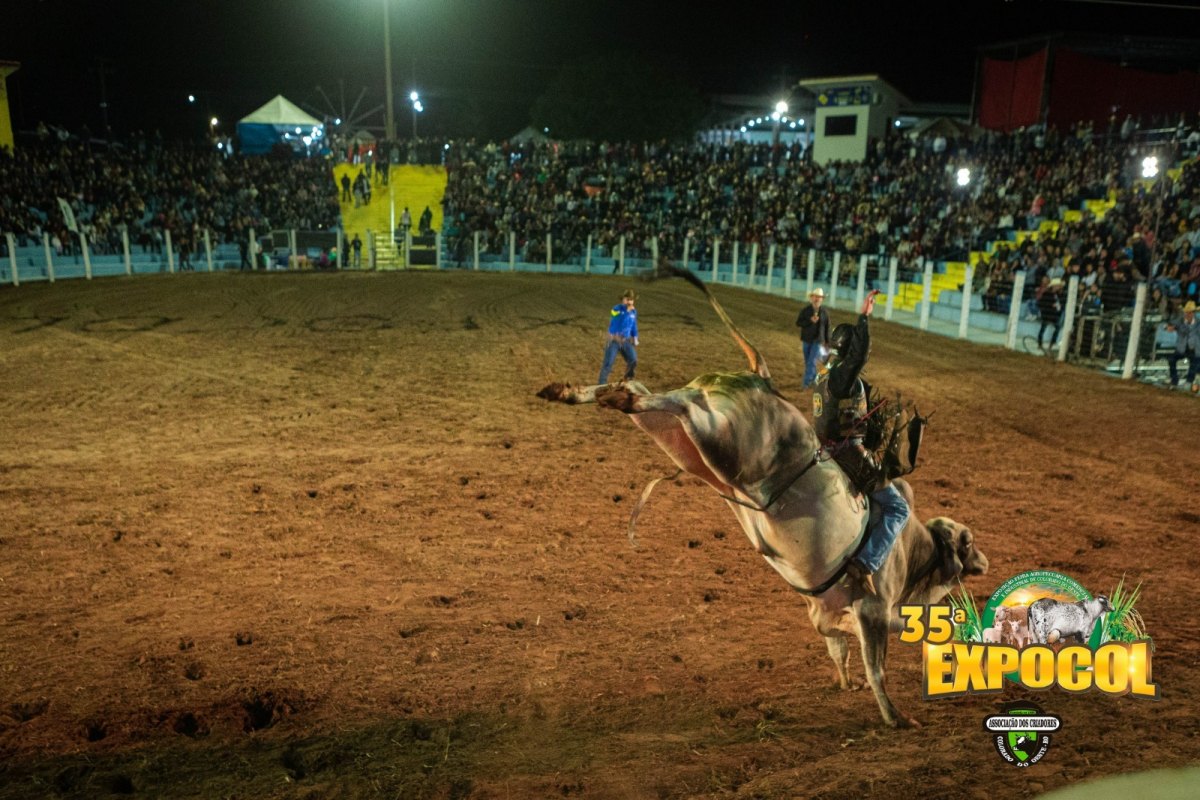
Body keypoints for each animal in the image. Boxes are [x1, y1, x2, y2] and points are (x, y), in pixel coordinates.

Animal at [540, 271, 988, 734]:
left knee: (647, 392)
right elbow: (875, 667)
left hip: (690, 445)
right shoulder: (873, 609)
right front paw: (896, 717)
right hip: (724, 440)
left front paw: (846, 683)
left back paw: (575, 392)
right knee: (674, 402)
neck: (913, 552)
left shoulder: (827, 614)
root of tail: (762, 379)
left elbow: (839, 650)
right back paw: (606, 395)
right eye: (968, 541)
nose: (984, 561)